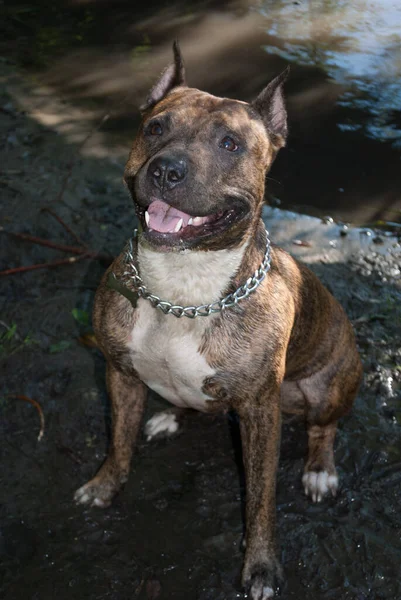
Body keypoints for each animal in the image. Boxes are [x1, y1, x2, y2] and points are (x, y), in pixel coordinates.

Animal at [75, 44, 362, 596]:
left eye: (230, 143)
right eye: (155, 128)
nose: (168, 170)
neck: (182, 290)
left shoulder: (259, 411)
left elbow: (261, 499)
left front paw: (262, 566)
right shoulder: (119, 373)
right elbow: (118, 441)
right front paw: (104, 485)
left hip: (325, 386)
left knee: (325, 428)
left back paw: (320, 470)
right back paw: (170, 414)